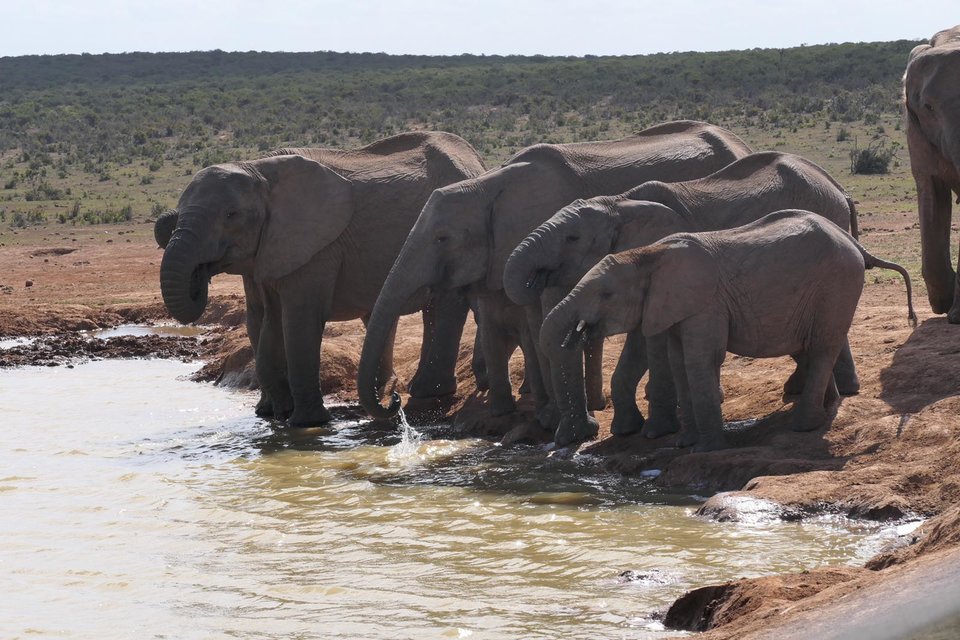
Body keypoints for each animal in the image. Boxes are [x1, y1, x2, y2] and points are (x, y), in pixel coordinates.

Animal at [160, 131, 488, 428]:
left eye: (231, 214)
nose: (200, 273)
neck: (257, 169)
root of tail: (476, 161)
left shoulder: (317, 247)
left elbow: (299, 319)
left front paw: (306, 424)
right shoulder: (264, 252)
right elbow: (260, 320)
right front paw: (269, 415)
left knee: (445, 306)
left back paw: (422, 393)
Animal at [502, 154, 864, 444]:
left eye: (572, 238)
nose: (584, 430)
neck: (619, 203)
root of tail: (839, 189)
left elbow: (649, 344)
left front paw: (653, 431)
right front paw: (627, 430)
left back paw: (830, 393)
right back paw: (815, 390)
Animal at [540, 210, 916, 450]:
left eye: (605, 294)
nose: (586, 431)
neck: (648, 254)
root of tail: (855, 243)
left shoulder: (704, 303)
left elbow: (700, 361)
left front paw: (707, 449)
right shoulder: (675, 309)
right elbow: (679, 363)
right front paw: (685, 444)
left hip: (837, 284)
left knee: (822, 346)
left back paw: (805, 424)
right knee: (809, 347)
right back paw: (827, 407)